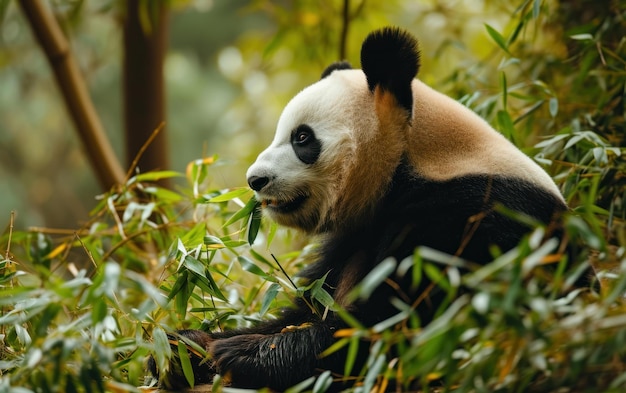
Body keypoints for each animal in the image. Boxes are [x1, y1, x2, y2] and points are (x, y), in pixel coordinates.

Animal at [154, 26, 568, 388]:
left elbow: (392, 331)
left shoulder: (472, 219)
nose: (256, 180)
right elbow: (307, 309)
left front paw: (241, 353)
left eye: (302, 137)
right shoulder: (351, 239)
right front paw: (183, 348)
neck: (413, 160)